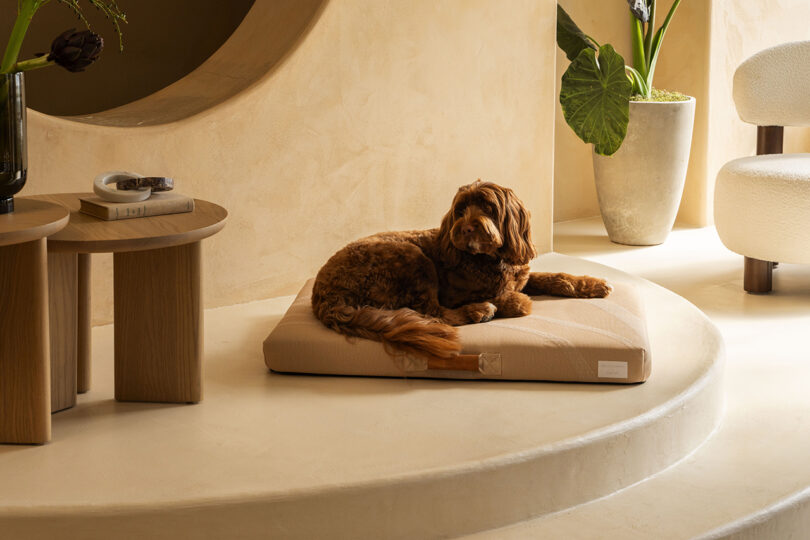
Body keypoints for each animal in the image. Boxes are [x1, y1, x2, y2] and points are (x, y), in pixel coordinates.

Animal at [312, 181, 608, 362]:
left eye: (488, 207)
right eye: (461, 209)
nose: (466, 228)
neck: (492, 259)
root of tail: (324, 296)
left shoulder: (521, 274)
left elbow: (553, 277)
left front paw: (590, 283)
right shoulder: (456, 292)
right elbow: (505, 296)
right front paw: (513, 302)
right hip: (412, 259)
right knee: (431, 312)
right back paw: (478, 311)